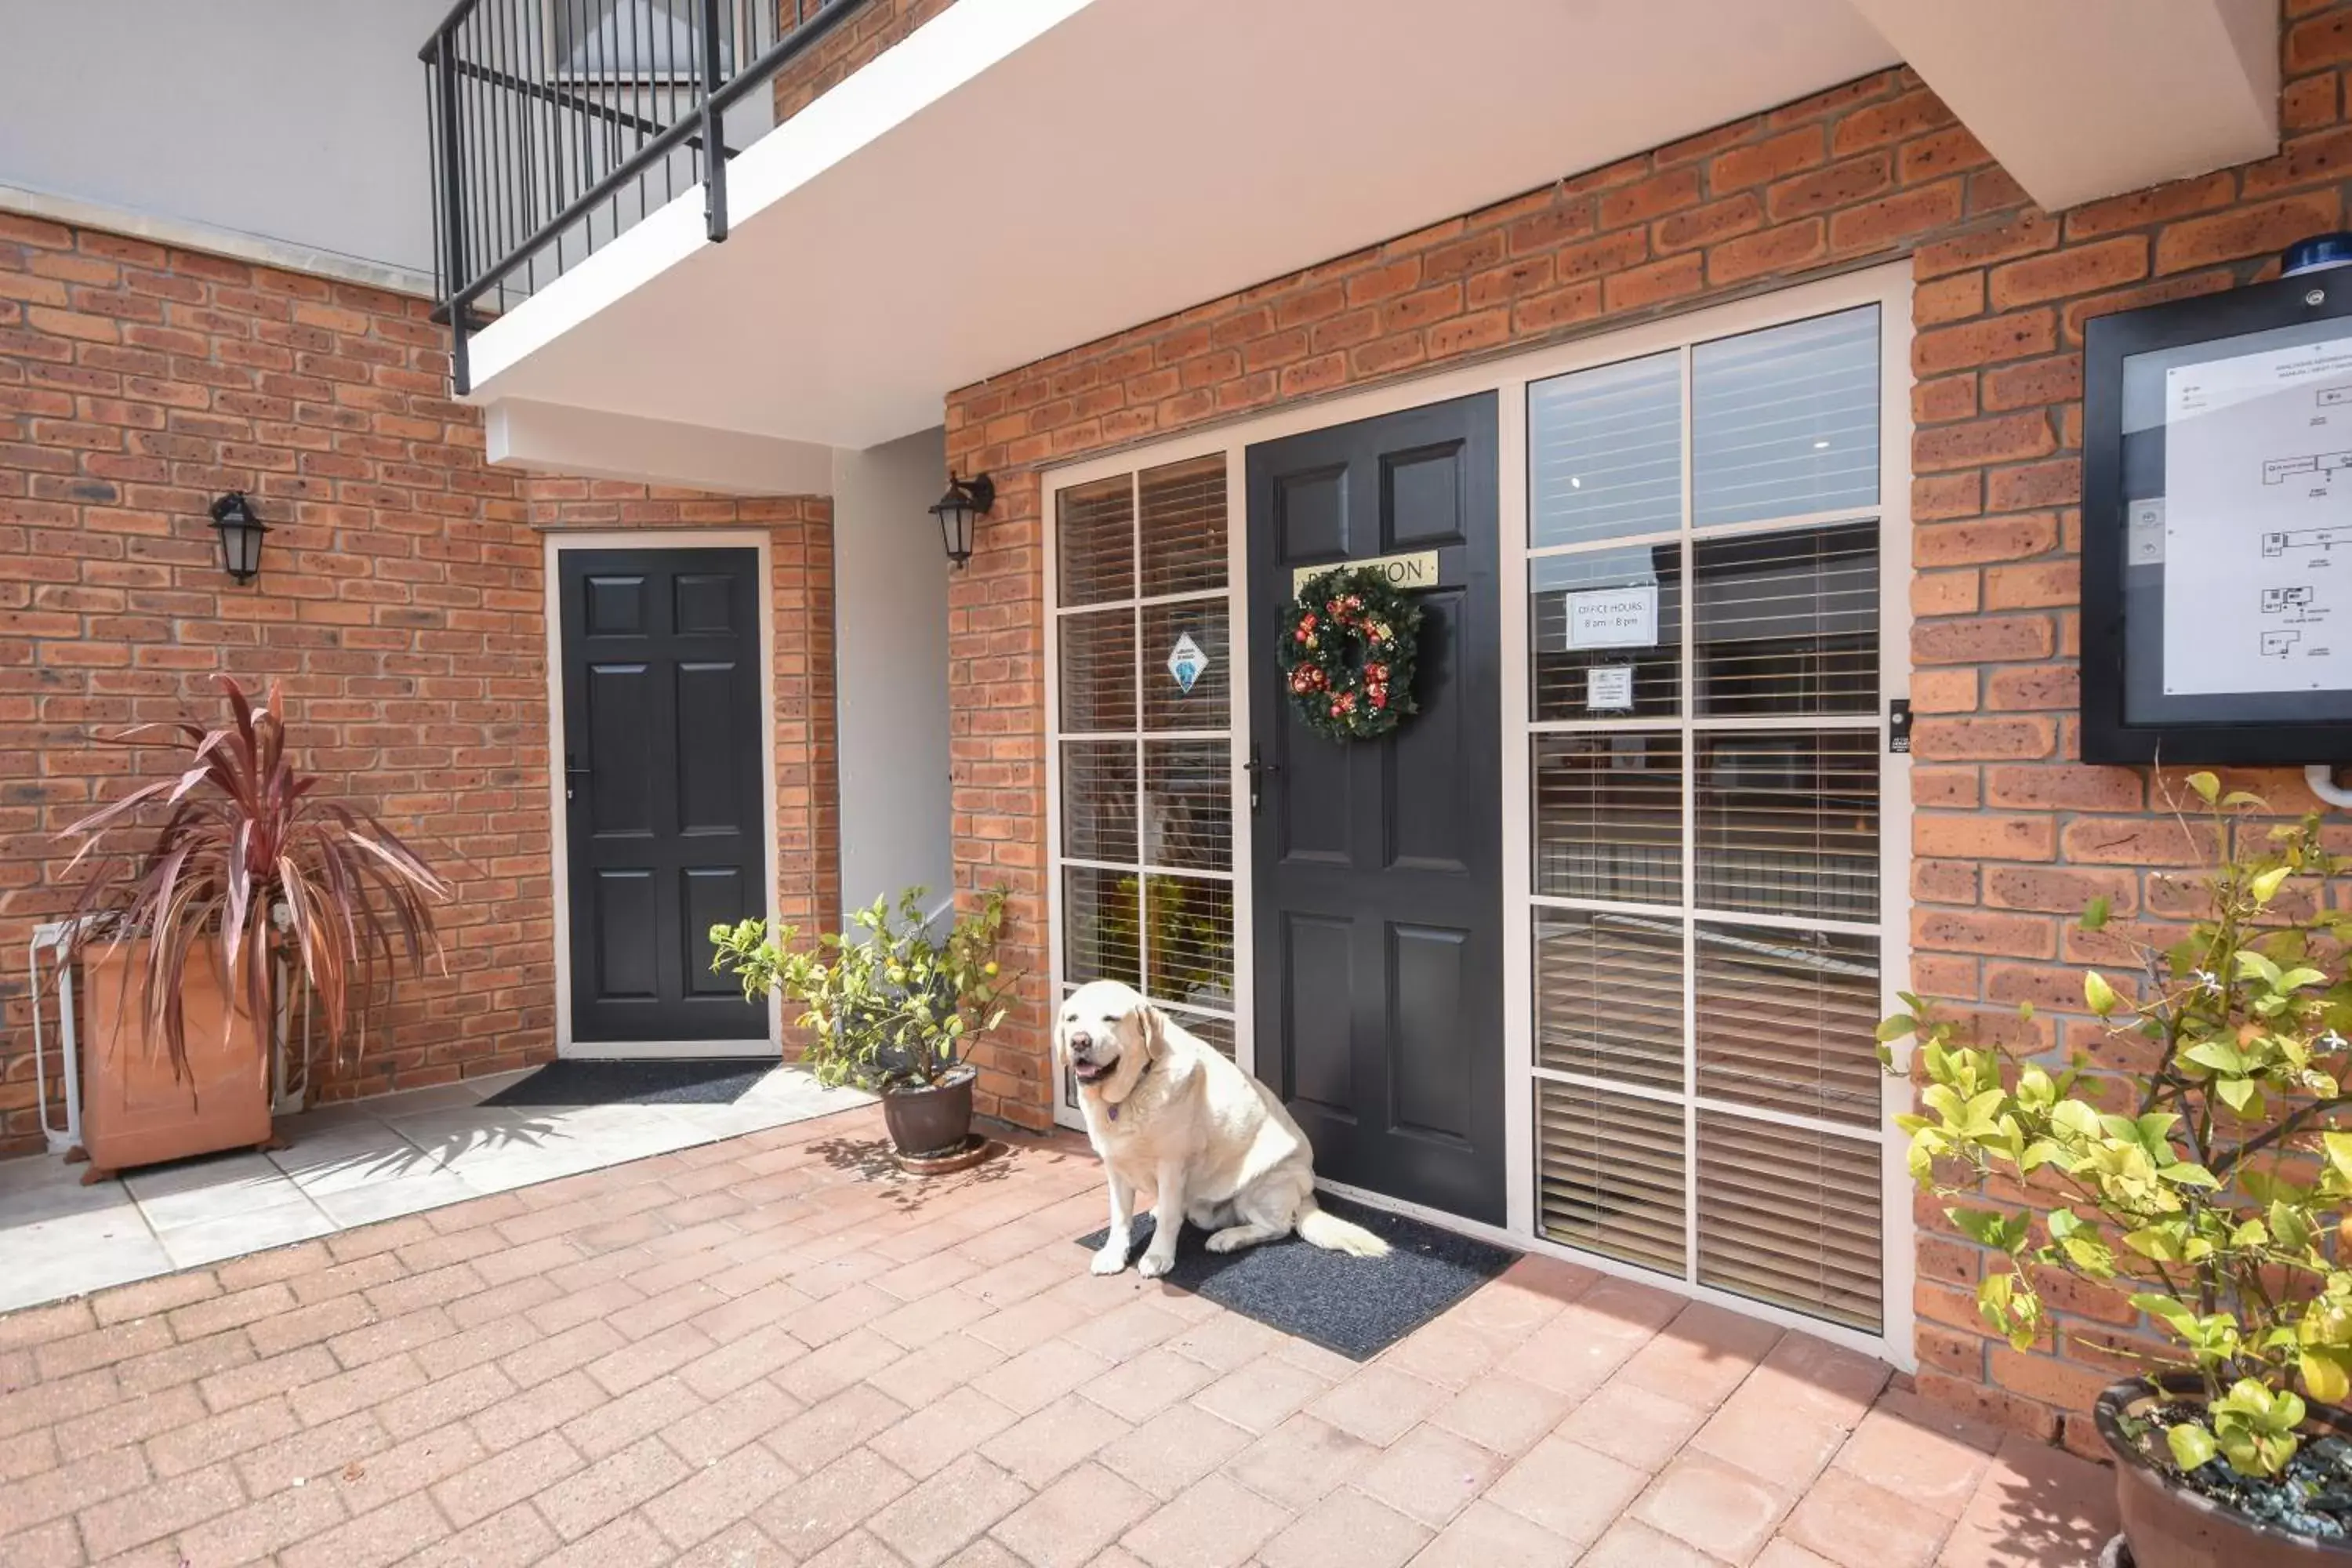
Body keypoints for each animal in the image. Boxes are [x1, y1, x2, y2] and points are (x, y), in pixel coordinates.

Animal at [1058, 982, 1383, 1279]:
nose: (1079, 1042)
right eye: (1072, 1019)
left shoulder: (1172, 1165)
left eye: (1110, 1018)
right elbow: (1120, 1217)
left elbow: (1168, 1218)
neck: (1127, 1096)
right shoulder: (1115, 1165)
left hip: (1259, 1183)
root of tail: (1306, 1195)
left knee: (1278, 1227)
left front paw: (1158, 1256)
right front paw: (1114, 1254)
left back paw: (1229, 1238)